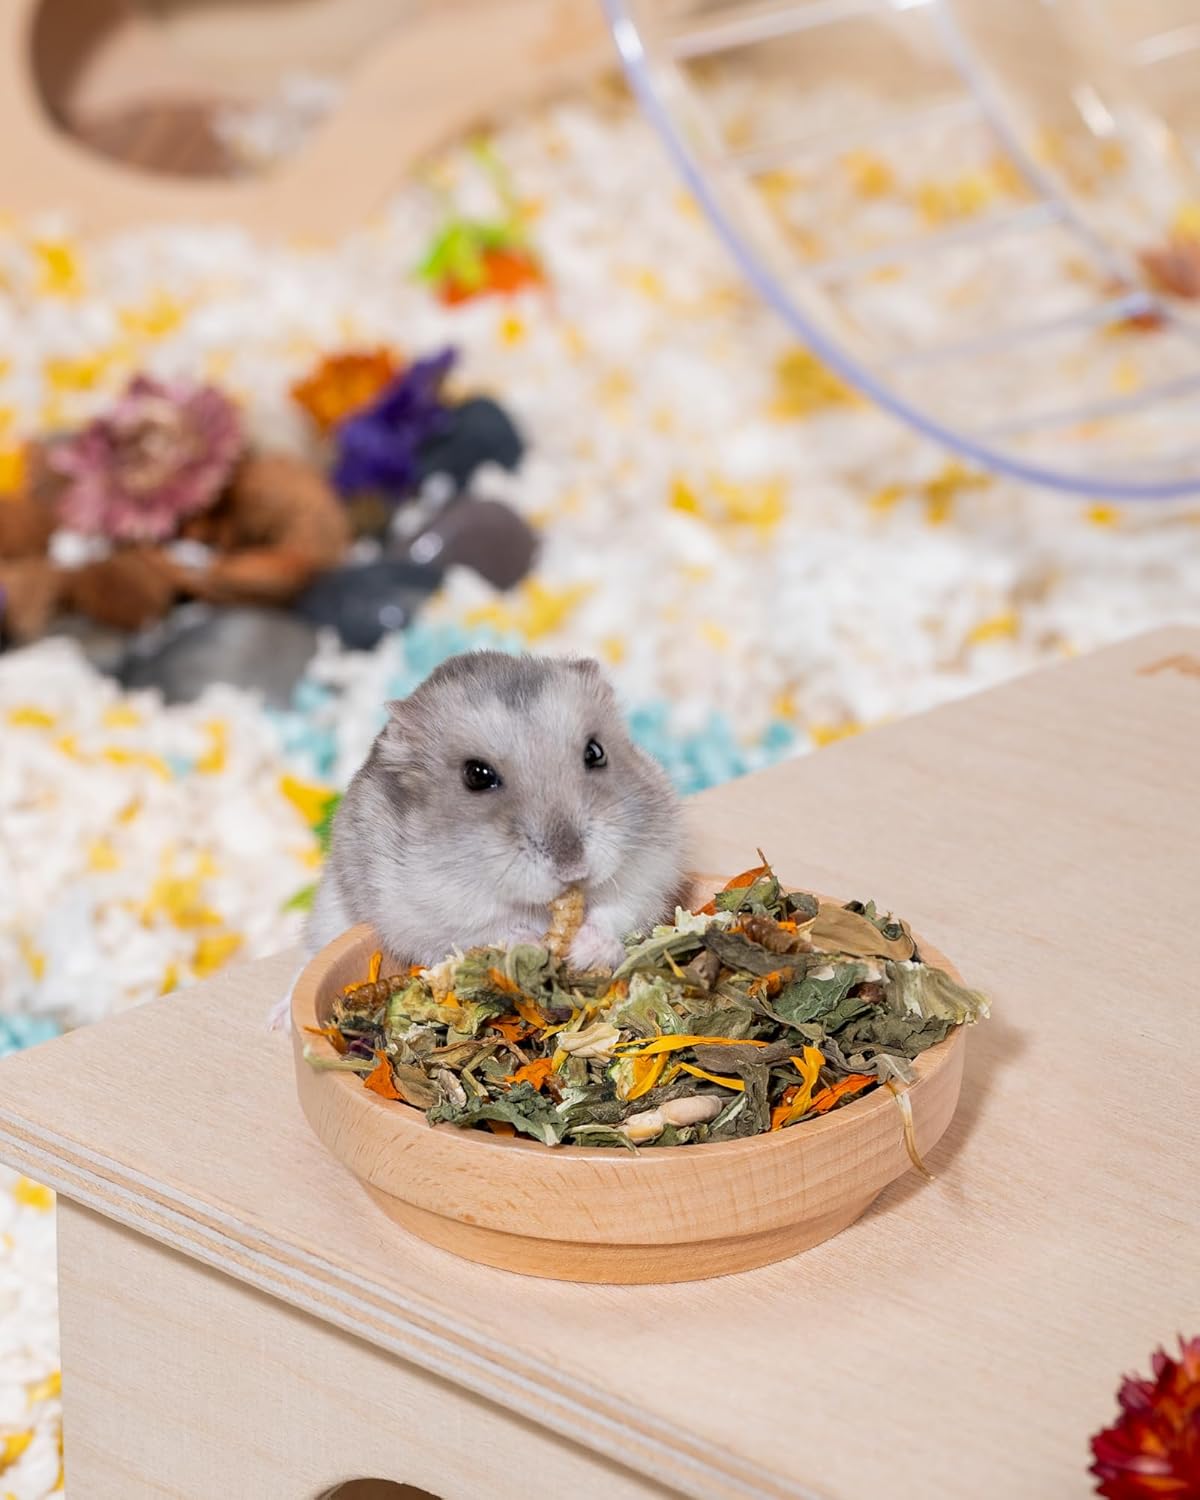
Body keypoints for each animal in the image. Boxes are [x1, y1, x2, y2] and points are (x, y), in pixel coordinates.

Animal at [270, 651, 689, 1028]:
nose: (573, 867)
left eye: (596, 752)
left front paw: (584, 951)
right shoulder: (430, 910)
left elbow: (618, 911)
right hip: (330, 913)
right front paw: (531, 942)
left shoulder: (651, 871)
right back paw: (279, 1019)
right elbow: (488, 928)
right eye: (476, 775)